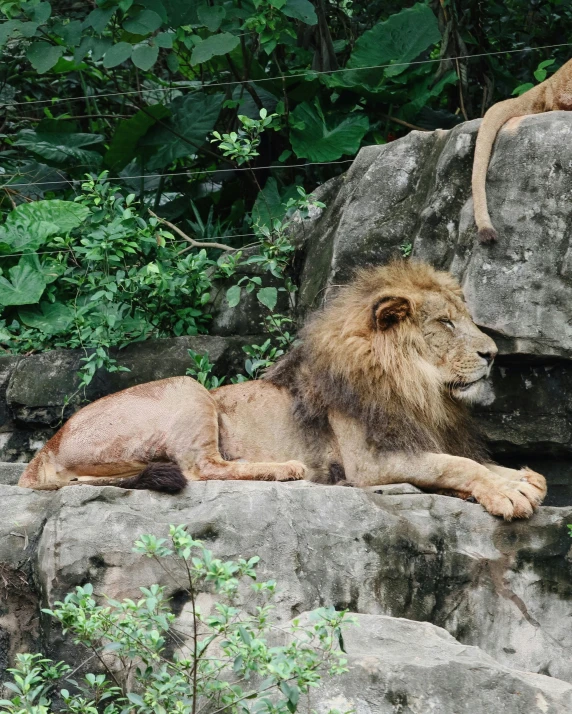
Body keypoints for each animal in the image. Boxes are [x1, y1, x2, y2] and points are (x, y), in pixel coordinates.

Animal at [16, 260, 544, 516]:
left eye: (465, 319)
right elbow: (456, 464)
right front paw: (511, 490)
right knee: (202, 468)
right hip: (187, 388)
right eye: (445, 323)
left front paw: (518, 478)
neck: (418, 387)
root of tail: (46, 448)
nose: (492, 353)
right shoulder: (370, 463)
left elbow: (468, 462)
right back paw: (287, 468)